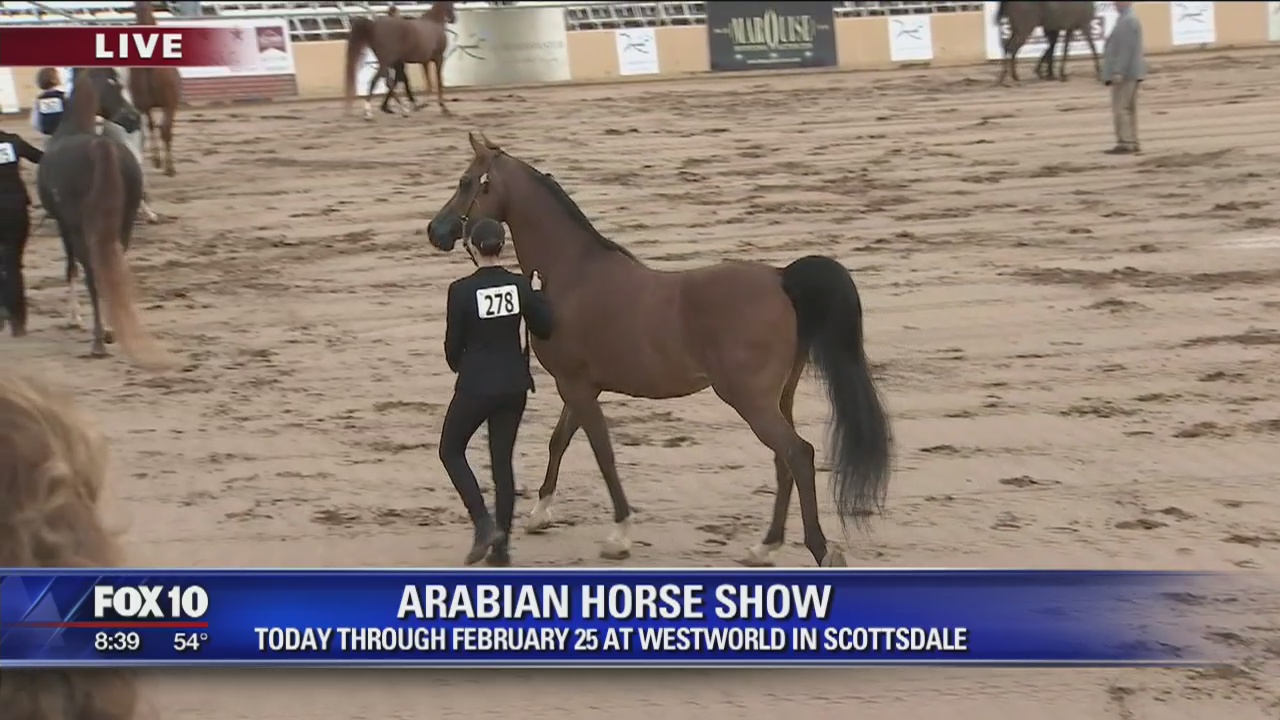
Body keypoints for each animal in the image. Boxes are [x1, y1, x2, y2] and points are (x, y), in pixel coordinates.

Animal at [36, 69, 170, 368]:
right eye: (114, 83)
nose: (133, 118)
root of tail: (101, 147)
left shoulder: (65, 226)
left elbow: (71, 269)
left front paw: (74, 318)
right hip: (123, 225)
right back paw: (111, 329)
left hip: (81, 230)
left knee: (92, 274)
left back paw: (98, 340)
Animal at [130, 1, 182, 176]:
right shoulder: (169, 104)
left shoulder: (144, 106)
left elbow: (151, 127)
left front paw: (157, 160)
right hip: (169, 104)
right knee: (165, 130)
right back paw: (169, 167)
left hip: (146, 105)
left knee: (153, 128)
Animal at [426, 133, 894, 567]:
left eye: (466, 181)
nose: (436, 231)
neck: (573, 273)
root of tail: (782, 279)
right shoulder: (580, 387)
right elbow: (560, 442)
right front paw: (541, 514)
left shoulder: (575, 386)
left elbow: (602, 453)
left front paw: (619, 535)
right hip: (779, 399)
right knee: (785, 461)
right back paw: (764, 547)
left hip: (751, 401)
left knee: (798, 453)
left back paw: (820, 549)